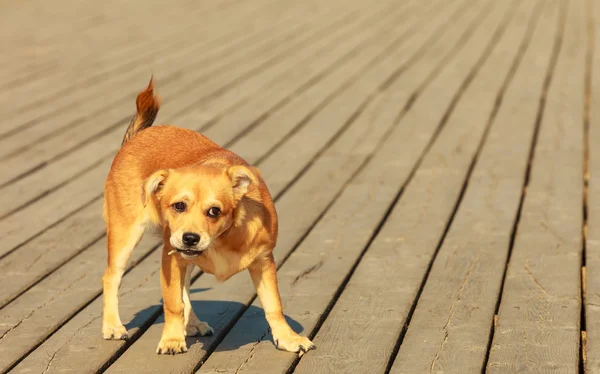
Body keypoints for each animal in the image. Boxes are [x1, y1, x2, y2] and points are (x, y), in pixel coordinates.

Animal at [101, 77, 316, 356]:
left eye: (214, 211)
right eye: (178, 206)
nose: (190, 238)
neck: (222, 239)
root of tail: (137, 136)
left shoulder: (264, 262)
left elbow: (273, 305)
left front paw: (287, 338)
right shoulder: (171, 259)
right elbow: (173, 303)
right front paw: (172, 340)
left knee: (185, 288)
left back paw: (191, 324)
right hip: (125, 234)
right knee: (112, 277)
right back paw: (113, 326)